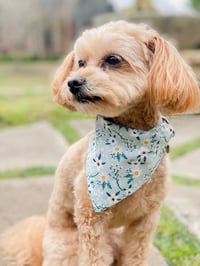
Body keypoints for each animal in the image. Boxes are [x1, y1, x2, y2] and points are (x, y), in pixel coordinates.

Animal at [0, 20, 200, 266]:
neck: (133, 142)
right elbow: (94, 258)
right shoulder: (91, 219)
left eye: (113, 59)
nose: (73, 82)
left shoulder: (145, 221)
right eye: (80, 63)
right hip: (67, 247)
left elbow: (136, 255)